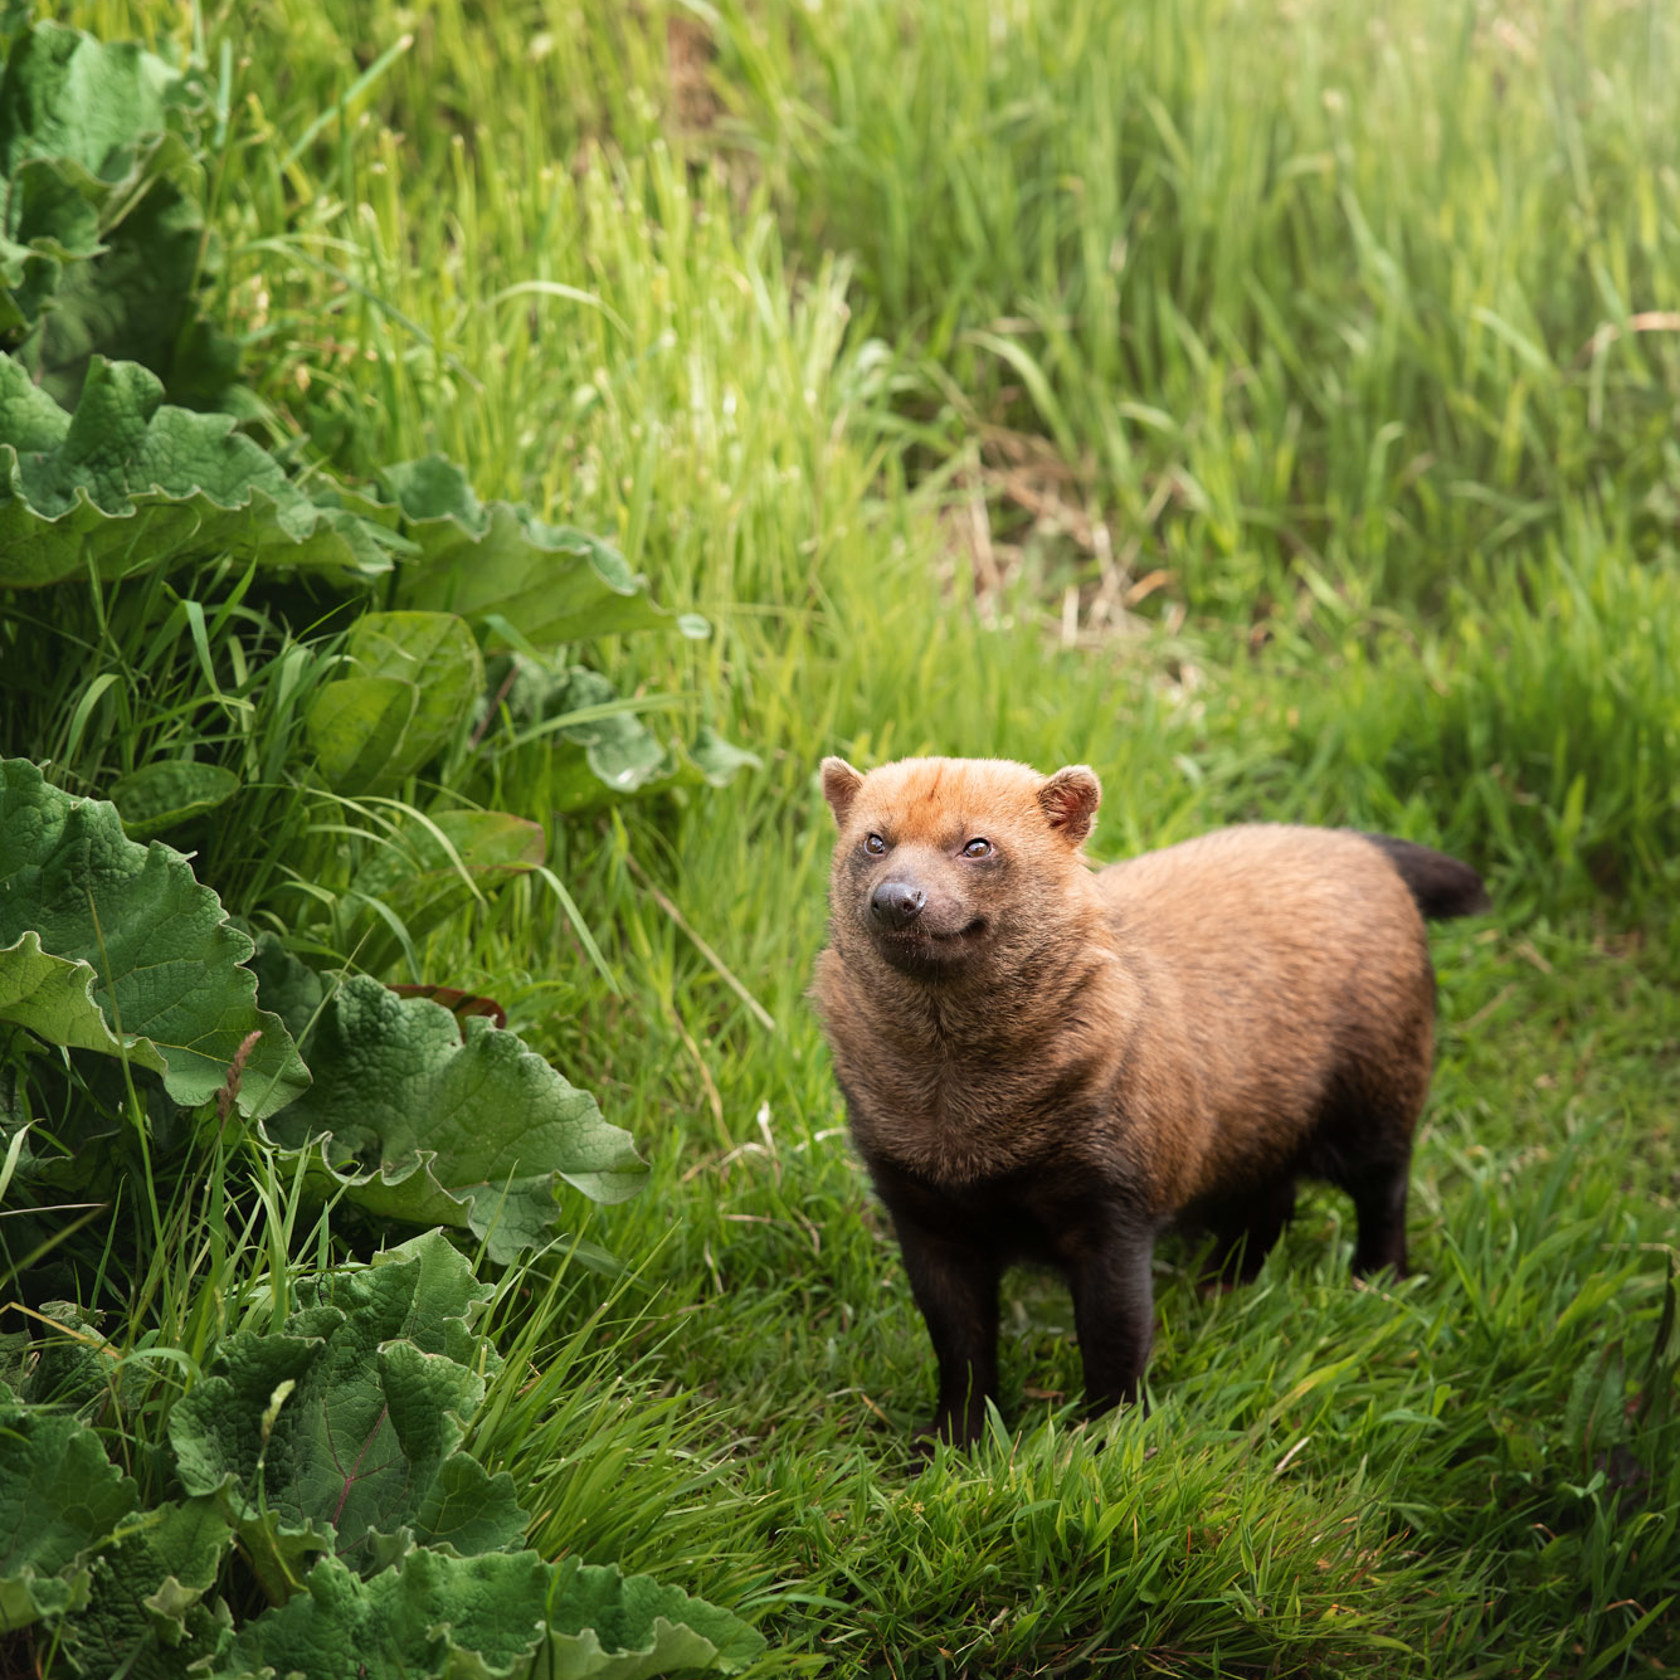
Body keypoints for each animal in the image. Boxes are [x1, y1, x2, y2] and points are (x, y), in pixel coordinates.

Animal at [813, 759, 1485, 1444]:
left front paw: (1101, 1442)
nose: (897, 899)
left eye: (978, 845)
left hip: (1379, 1099)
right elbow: (960, 1350)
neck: (964, 1136)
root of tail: (1363, 847)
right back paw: (1220, 1288)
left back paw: (1377, 1285)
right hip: (1256, 1133)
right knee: (1271, 1205)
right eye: (875, 840)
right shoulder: (920, 1213)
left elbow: (1117, 1341)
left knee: (1385, 1193)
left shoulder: (1114, 1210)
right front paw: (945, 1447)